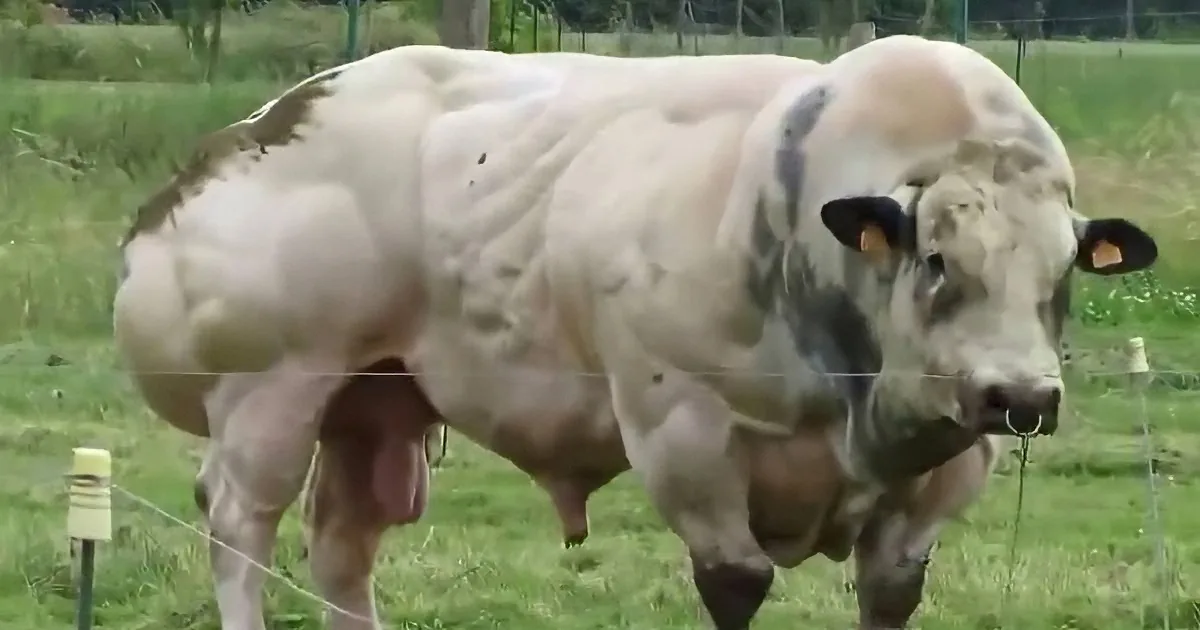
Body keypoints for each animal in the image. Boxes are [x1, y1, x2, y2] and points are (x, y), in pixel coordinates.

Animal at [112, 35, 1158, 630]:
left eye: (1064, 269)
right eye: (938, 259)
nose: (1021, 395)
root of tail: (254, 128)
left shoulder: (948, 472)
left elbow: (889, 591)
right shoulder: (683, 434)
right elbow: (734, 583)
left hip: (375, 401)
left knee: (341, 544)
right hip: (269, 393)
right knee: (242, 527)